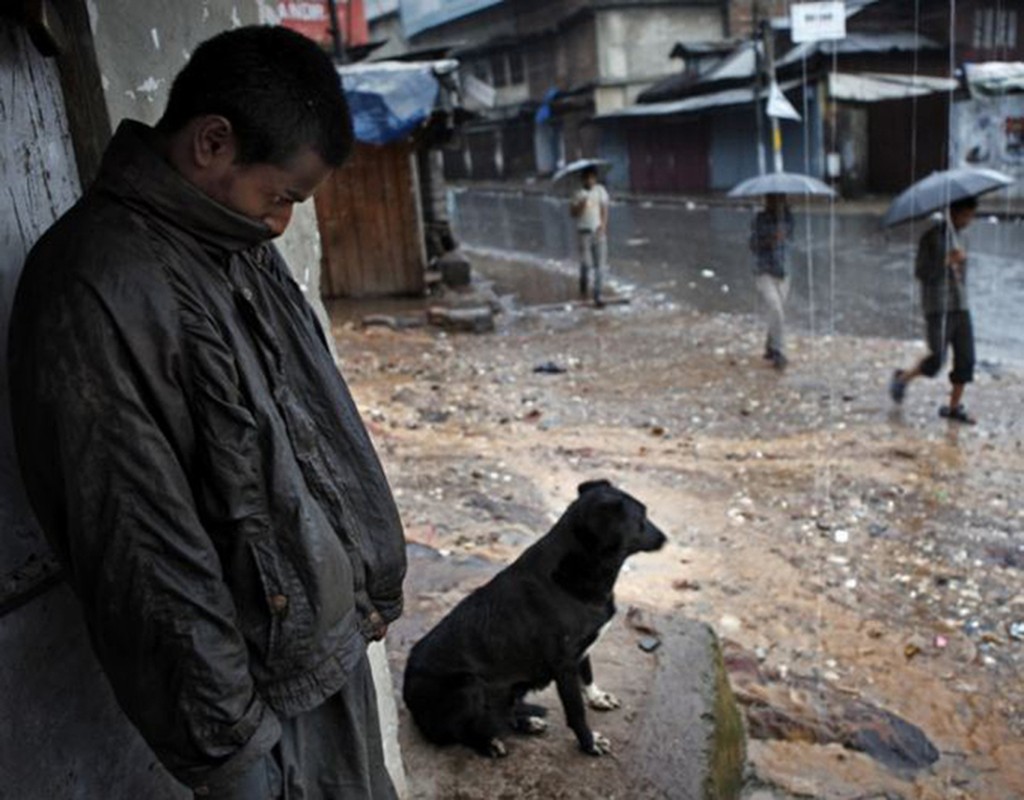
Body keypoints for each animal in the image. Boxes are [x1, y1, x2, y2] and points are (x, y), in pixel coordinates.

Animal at [399, 477, 663, 758]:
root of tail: (409, 701)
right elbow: (576, 712)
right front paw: (589, 742)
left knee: (503, 714)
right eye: (642, 518)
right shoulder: (564, 665)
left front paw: (597, 697)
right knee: (460, 732)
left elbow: (588, 675)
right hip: (467, 686)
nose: (665, 539)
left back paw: (525, 722)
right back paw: (488, 743)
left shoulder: (582, 650)